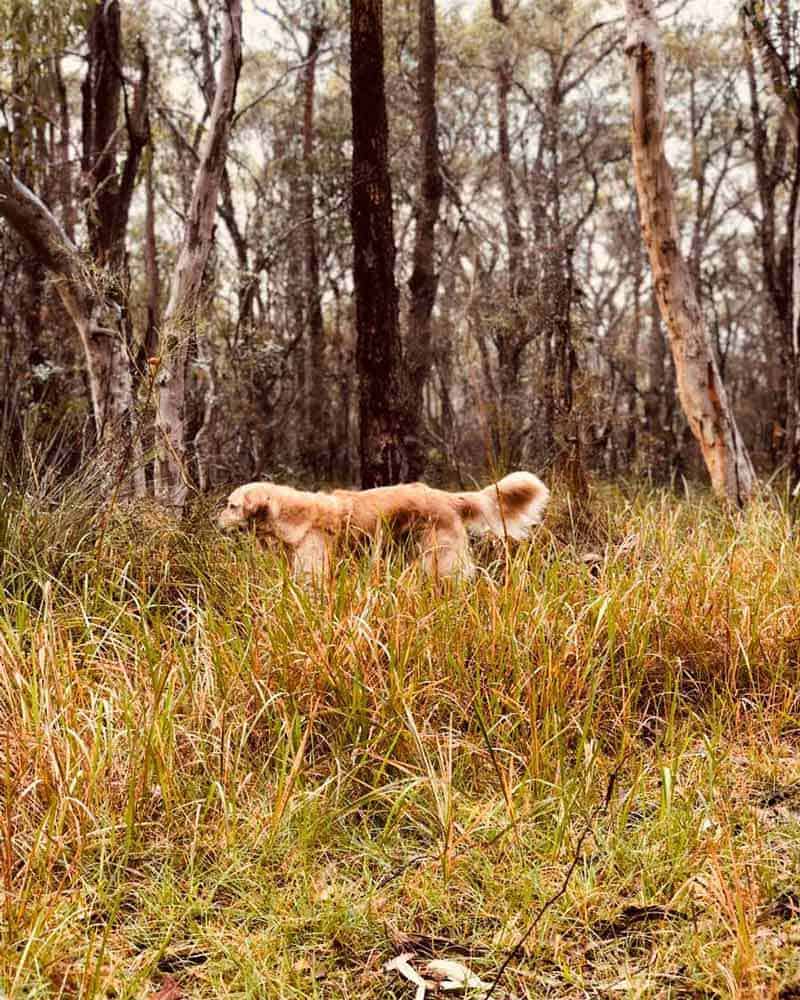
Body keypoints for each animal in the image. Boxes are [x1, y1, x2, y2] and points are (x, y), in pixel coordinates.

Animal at [216, 472, 548, 584]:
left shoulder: (314, 570)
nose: (215, 521)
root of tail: (446, 497)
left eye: (231, 506)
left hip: (439, 560)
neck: (294, 516)